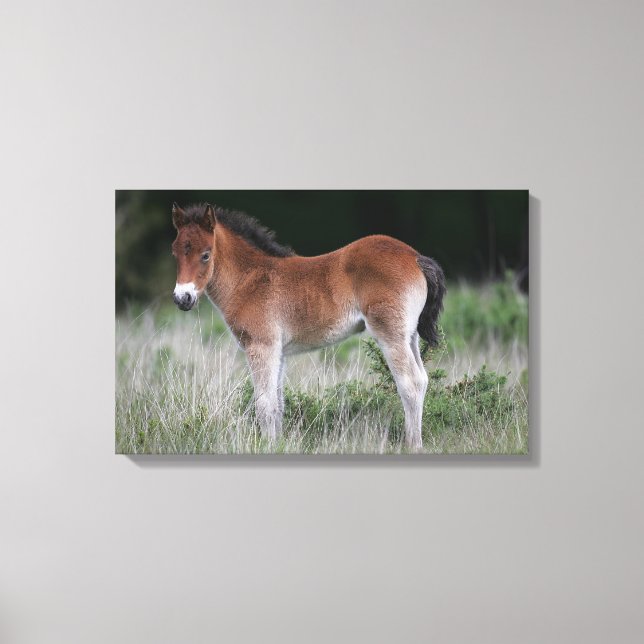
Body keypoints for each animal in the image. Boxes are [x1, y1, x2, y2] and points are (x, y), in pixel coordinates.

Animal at [170, 202, 445, 450]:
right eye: (175, 253)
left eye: (206, 255)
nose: (182, 298)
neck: (250, 279)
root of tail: (415, 257)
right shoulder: (278, 352)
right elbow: (278, 404)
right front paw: (276, 445)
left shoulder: (262, 346)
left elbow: (264, 404)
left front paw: (266, 446)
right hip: (409, 335)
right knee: (422, 380)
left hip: (390, 334)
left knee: (409, 383)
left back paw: (413, 446)